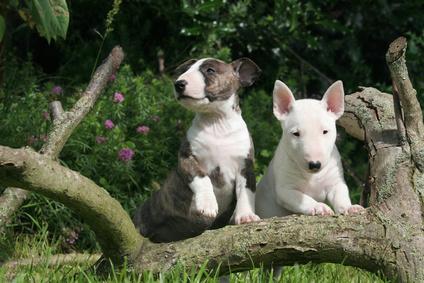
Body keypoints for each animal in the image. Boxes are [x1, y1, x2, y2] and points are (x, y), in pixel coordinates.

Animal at [133, 57, 262, 242]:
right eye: (186, 70)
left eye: (210, 70)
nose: (178, 83)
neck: (217, 121)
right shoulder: (187, 159)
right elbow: (202, 178)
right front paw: (207, 204)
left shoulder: (246, 166)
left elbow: (246, 190)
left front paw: (246, 216)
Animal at [255, 81, 364, 219]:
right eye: (296, 133)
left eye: (325, 131)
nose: (315, 164)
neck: (313, 177)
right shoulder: (285, 190)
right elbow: (303, 198)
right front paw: (319, 207)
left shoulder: (335, 181)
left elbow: (341, 194)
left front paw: (350, 208)